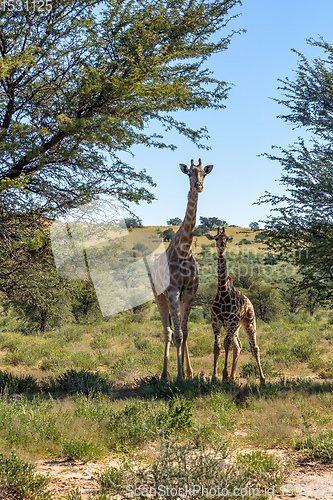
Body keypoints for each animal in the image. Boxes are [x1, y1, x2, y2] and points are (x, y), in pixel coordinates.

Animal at [151, 158, 211, 380]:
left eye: (204, 172)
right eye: (189, 173)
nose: (198, 186)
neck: (184, 249)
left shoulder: (190, 291)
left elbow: (185, 332)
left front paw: (189, 373)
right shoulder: (173, 291)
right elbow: (177, 334)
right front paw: (178, 376)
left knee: (178, 331)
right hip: (159, 295)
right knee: (167, 332)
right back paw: (164, 375)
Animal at [202, 227, 264, 382]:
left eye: (226, 238)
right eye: (216, 238)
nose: (222, 246)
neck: (223, 291)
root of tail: (250, 302)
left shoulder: (231, 320)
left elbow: (226, 343)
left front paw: (223, 375)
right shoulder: (216, 321)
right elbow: (217, 346)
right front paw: (215, 376)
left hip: (248, 322)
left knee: (254, 347)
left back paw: (262, 379)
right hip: (234, 326)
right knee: (238, 346)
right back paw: (232, 376)